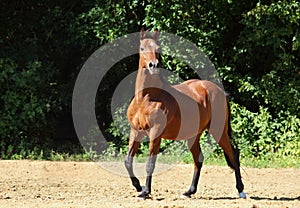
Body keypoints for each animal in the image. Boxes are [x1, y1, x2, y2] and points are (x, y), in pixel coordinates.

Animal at [124, 29, 246, 200]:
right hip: (194, 136)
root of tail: (219, 91)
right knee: (199, 159)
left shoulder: (156, 133)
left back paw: (241, 190)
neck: (146, 98)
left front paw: (145, 192)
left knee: (233, 155)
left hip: (218, 131)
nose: (154, 65)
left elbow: (150, 164)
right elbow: (128, 161)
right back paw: (189, 191)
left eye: (158, 48)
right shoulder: (136, 131)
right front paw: (138, 186)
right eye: (142, 48)